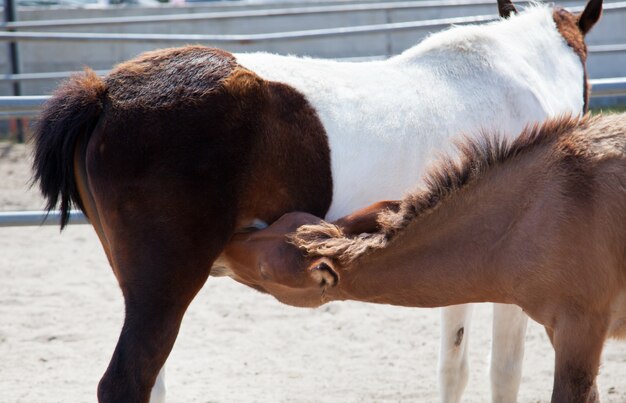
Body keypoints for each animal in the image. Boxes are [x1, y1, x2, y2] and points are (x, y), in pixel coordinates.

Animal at [218, 113, 624, 403]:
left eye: (265, 271)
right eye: (279, 222)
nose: (227, 245)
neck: (533, 212)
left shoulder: (579, 330)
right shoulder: (562, 333)